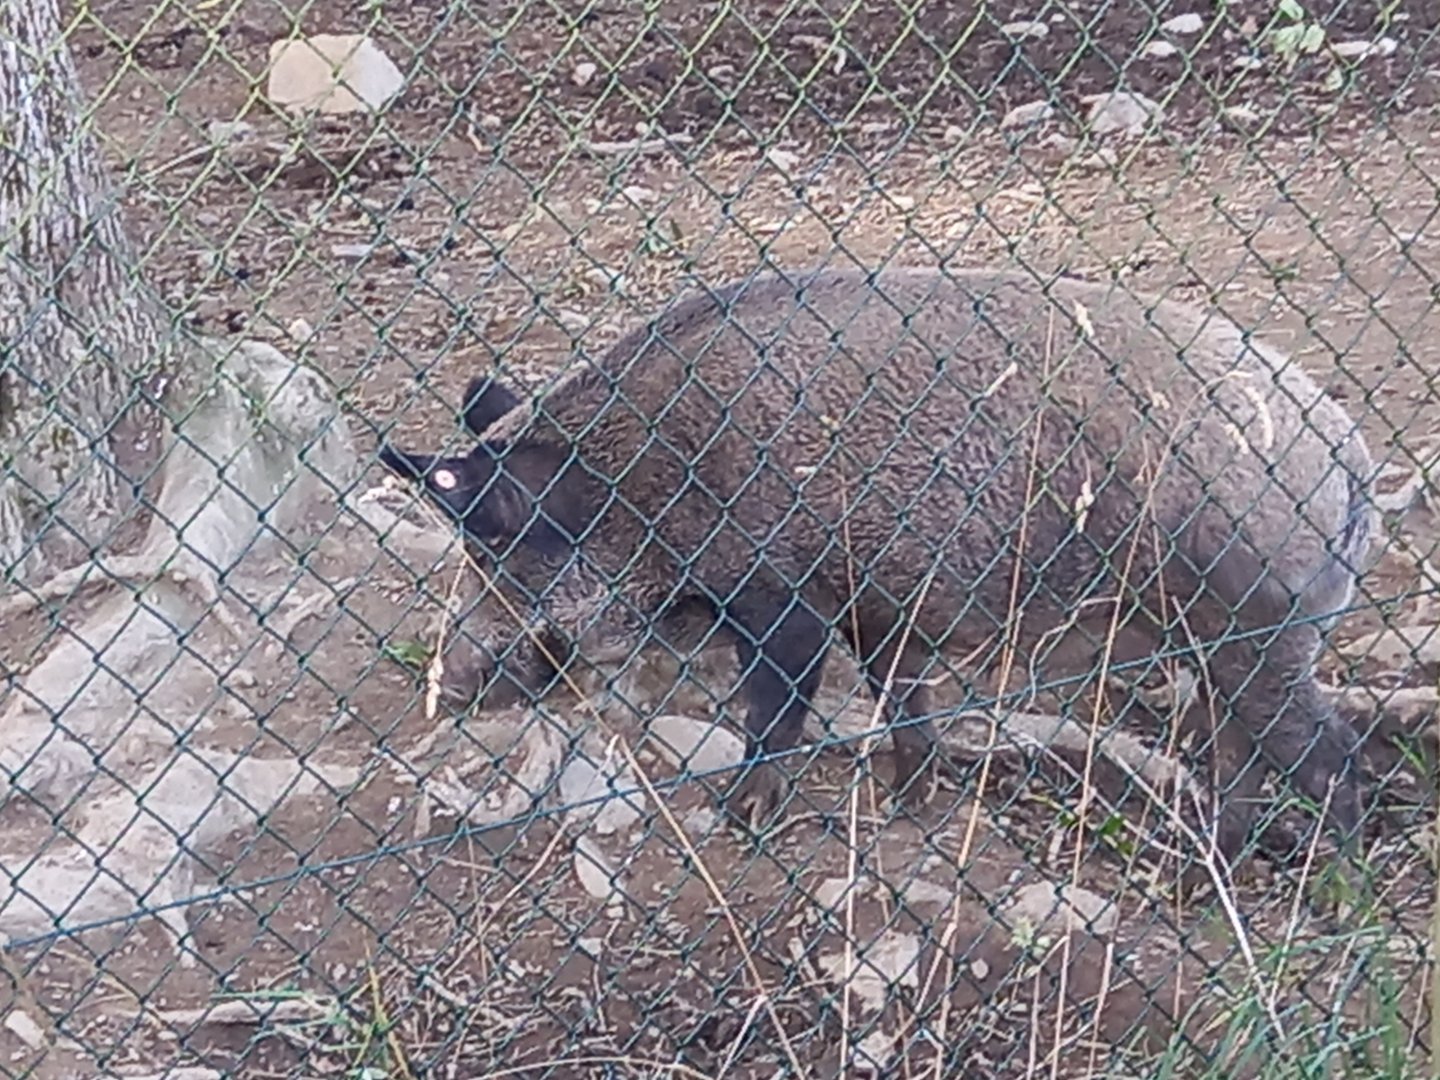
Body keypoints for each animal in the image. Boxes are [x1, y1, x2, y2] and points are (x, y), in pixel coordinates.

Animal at [379, 266, 1376, 863]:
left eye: (494, 549)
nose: (444, 686)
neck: (647, 487)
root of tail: (1350, 454)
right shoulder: (877, 603)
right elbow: (902, 696)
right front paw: (909, 800)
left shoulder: (787, 597)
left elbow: (778, 708)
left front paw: (741, 817)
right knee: (1239, 754)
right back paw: (1210, 856)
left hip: (1265, 626)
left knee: (1325, 754)